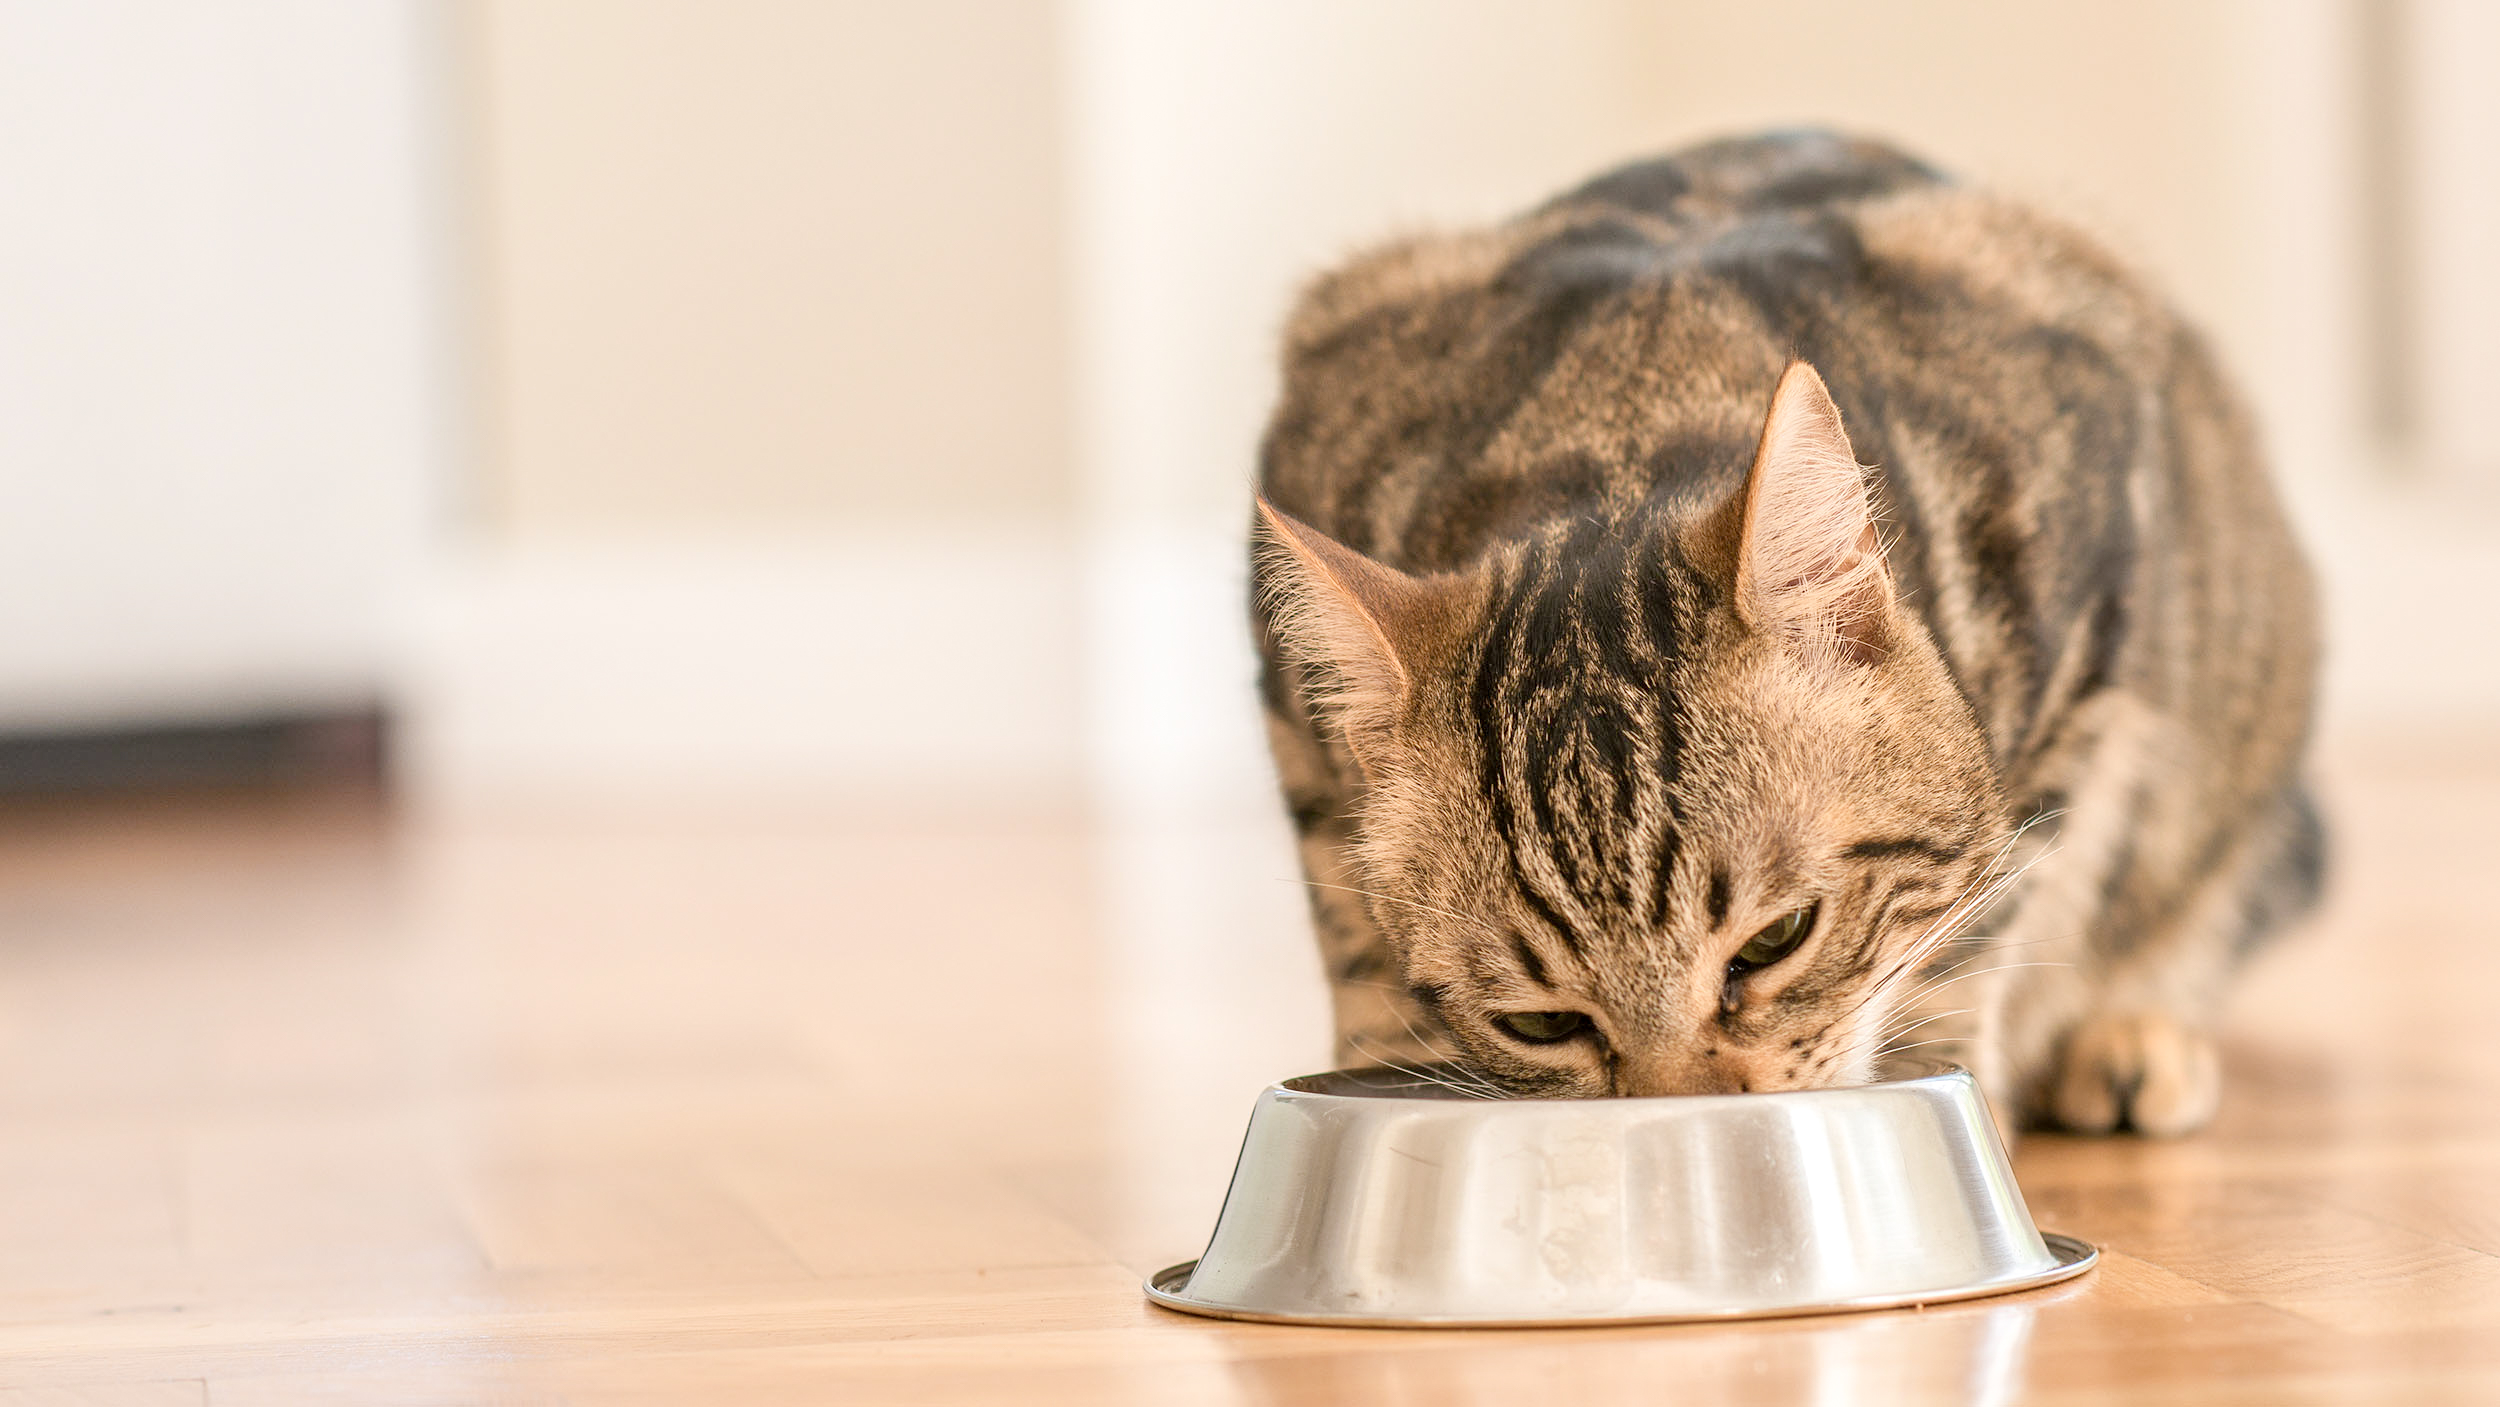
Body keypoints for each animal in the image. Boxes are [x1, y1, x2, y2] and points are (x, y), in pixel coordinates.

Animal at [1250, 132, 2320, 1139]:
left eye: (1777, 938)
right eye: (1541, 1022)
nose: (1681, 1105)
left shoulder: (2091, 621)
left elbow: (1984, 927)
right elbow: (1353, 940)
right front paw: (1379, 1067)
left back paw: (2131, 1035)